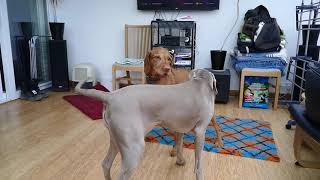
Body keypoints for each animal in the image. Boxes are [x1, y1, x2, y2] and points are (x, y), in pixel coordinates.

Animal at [76, 69, 224, 180]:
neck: (200, 83)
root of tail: (110, 96)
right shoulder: (200, 132)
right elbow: (198, 164)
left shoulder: (179, 129)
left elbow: (179, 145)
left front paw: (180, 161)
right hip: (134, 147)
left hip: (116, 139)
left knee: (106, 164)